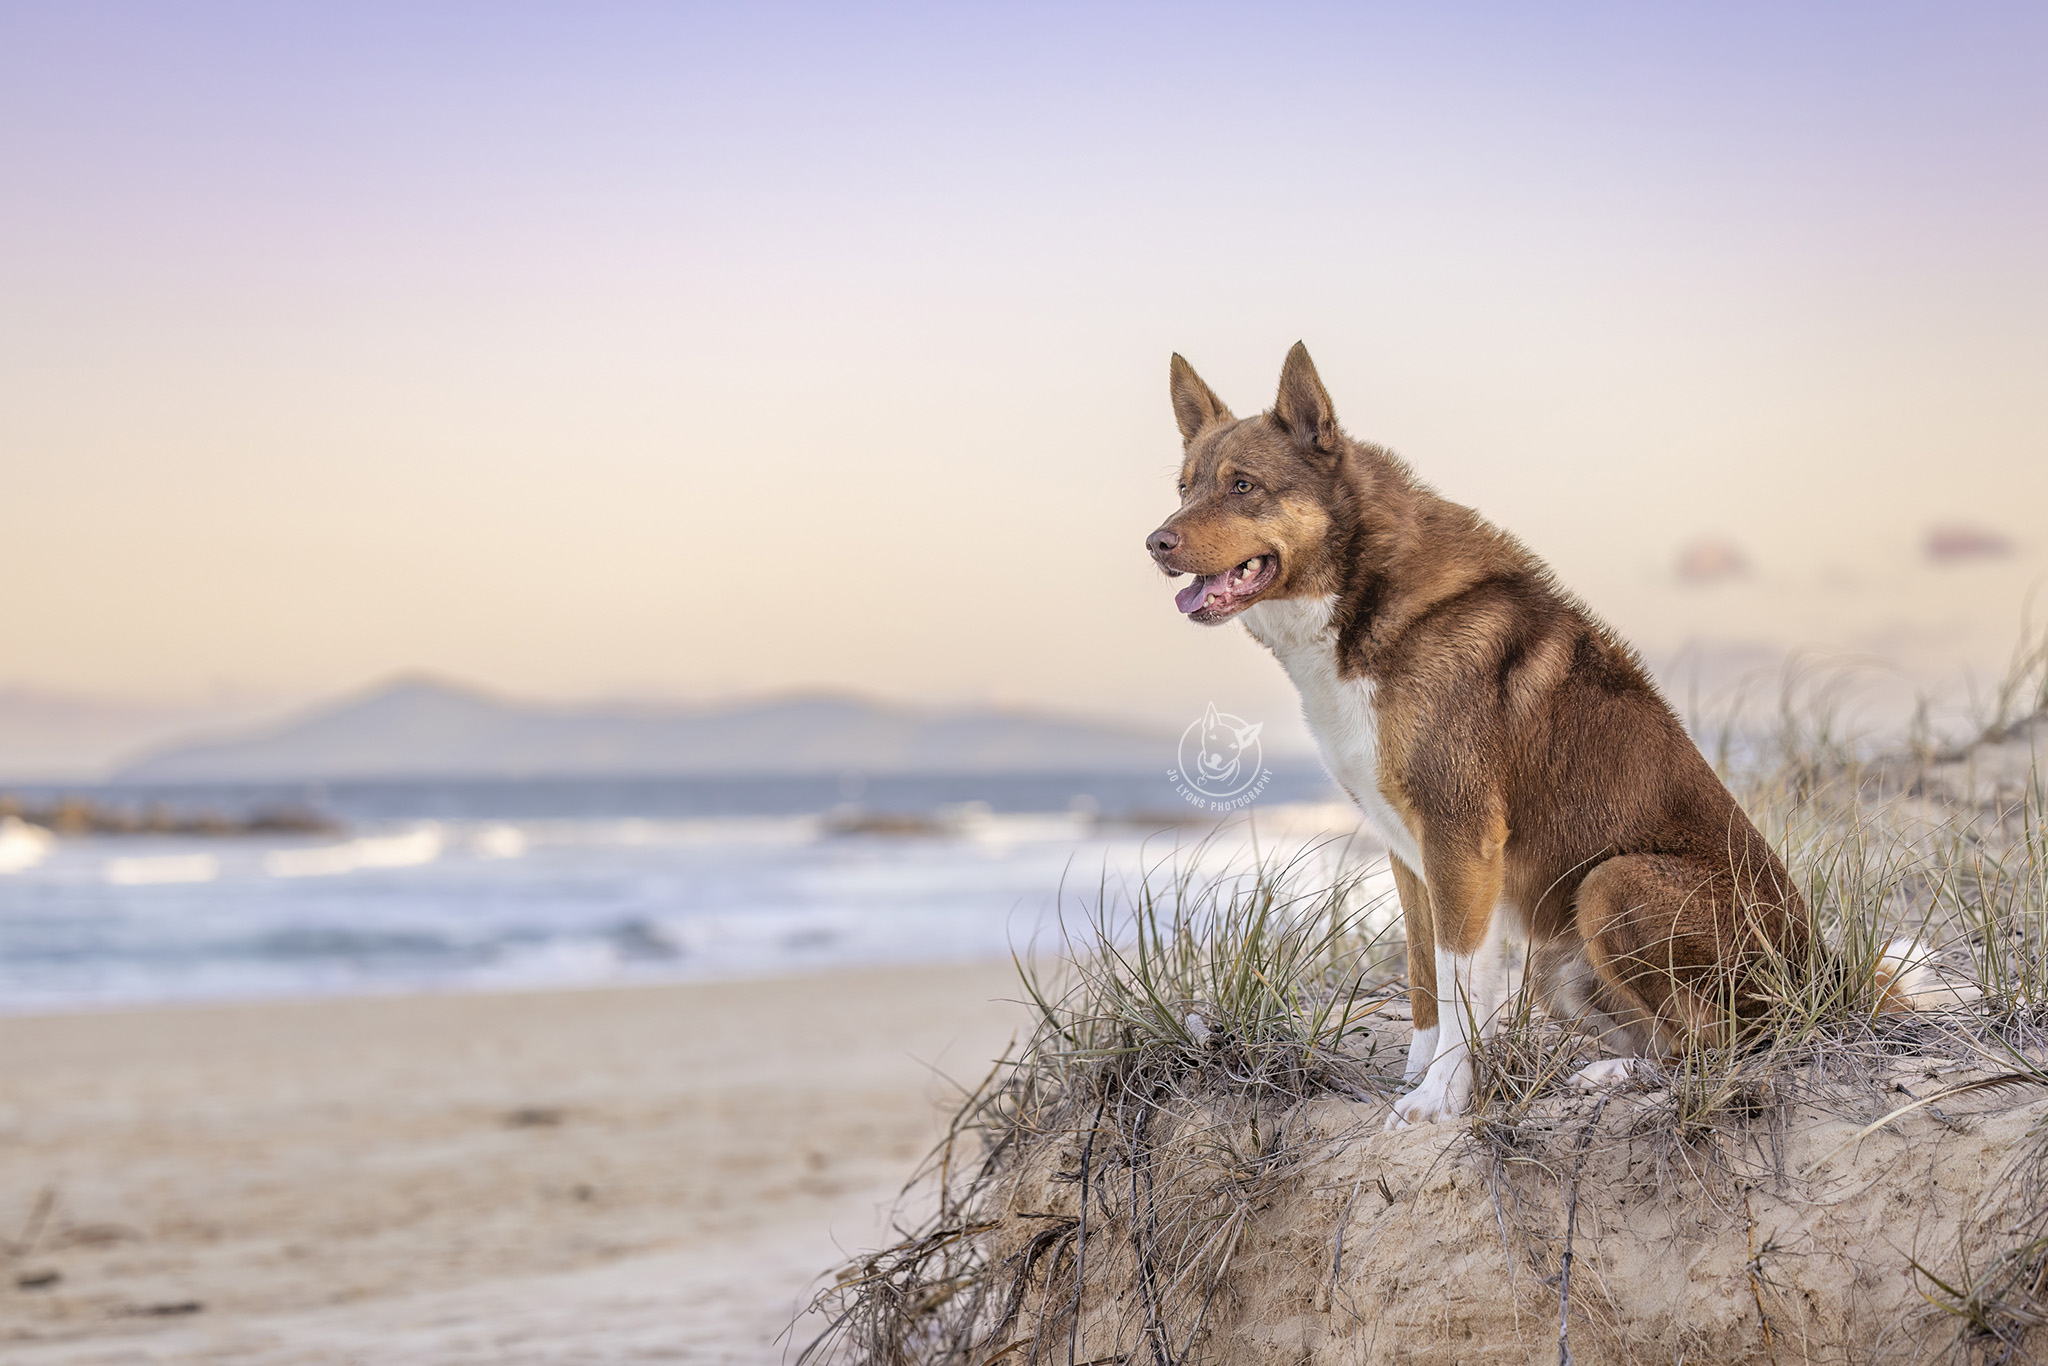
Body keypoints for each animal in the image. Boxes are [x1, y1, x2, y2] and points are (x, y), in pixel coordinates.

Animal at [1146, 344, 1925, 1130]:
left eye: (1243, 485)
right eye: (1183, 488)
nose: (1156, 542)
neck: (1365, 597)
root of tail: (1827, 977)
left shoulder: (1460, 839)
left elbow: (1461, 988)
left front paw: (1441, 1097)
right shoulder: (1410, 854)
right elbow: (1427, 980)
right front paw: (1421, 1076)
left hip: (1611, 883)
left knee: (1723, 1043)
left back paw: (1619, 1076)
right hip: (1558, 960)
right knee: (1676, 1040)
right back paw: (1613, 1070)